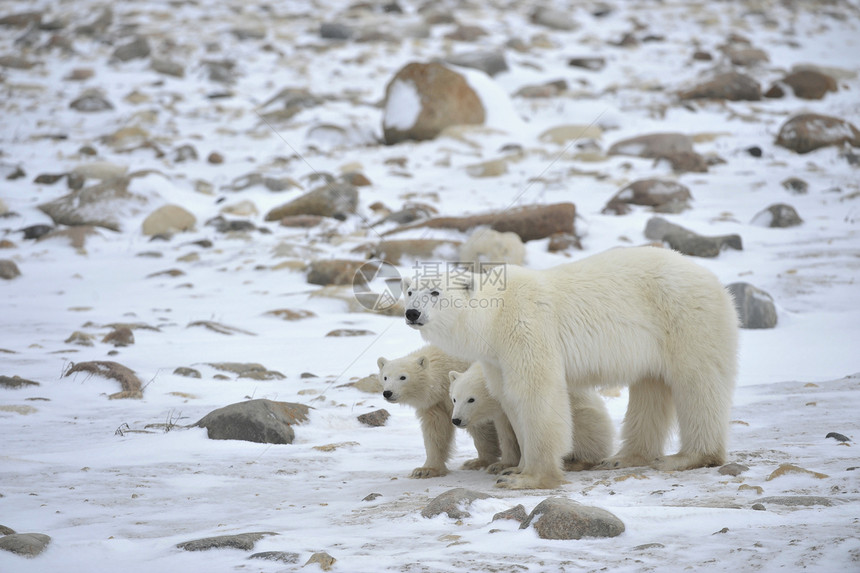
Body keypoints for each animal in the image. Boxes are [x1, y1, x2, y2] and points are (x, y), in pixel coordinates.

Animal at [404, 244, 740, 490]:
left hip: (686, 318)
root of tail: (712, 279)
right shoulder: (496, 357)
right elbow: (510, 399)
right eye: (409, 292)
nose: (411, 313)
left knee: (698, 382)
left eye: (435, 292)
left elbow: (536, 394)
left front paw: (529, 477)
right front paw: (514, 467)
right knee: (650, 387)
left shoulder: (526, 329)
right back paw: (624, 458)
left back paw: (687, 457)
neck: (494, 317)